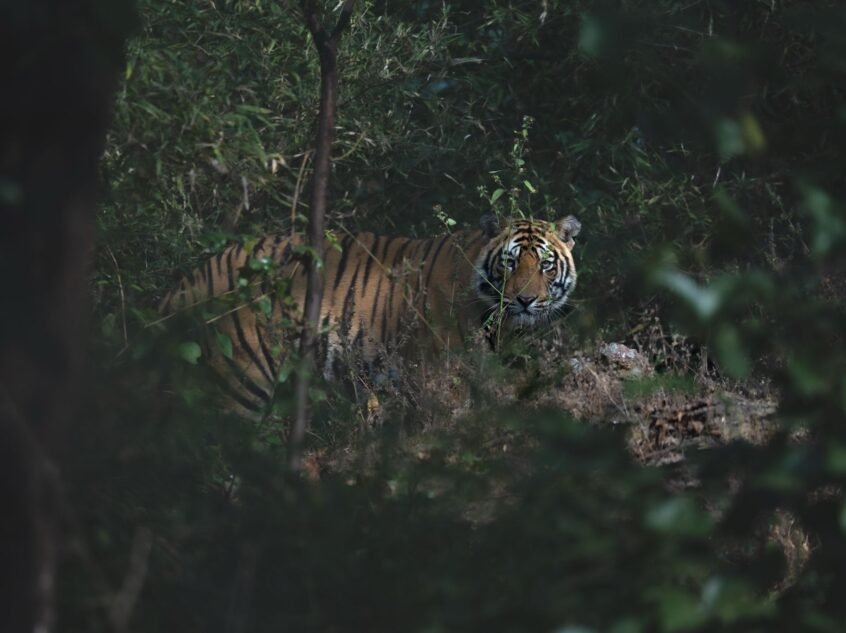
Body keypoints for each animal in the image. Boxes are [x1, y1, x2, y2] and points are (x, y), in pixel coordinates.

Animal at [160, 214, 581, 416]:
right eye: (510, 264)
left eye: (545, 265)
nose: (525, 300)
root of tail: (188, 280)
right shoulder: (443, 375)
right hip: (241, 379)